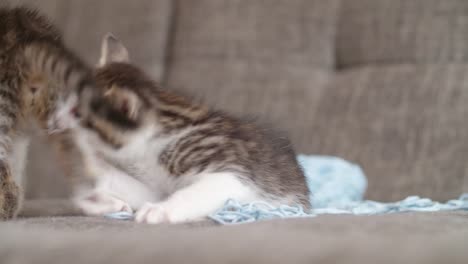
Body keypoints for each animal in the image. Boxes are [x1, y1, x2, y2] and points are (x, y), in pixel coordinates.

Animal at [62, 34, 310, 224]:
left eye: (77, 112)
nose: (58, 116)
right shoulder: (155, 186)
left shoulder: (231, 174)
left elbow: (196, 193)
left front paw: (160, 210)